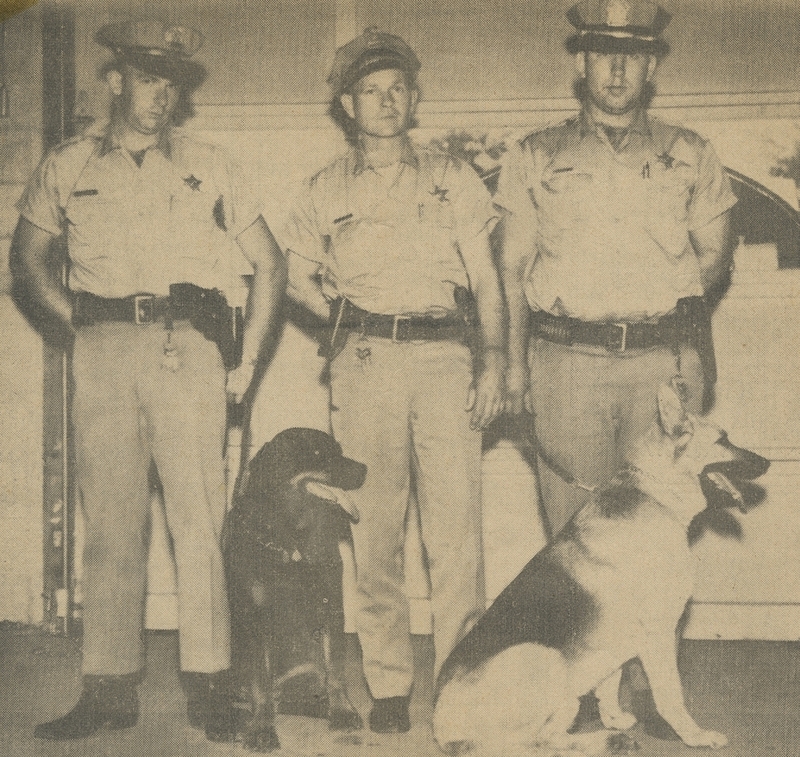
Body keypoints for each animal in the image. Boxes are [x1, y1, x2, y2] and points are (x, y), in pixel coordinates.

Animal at [225, 426, 368, 752]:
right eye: (318, 454)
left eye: (339, 449)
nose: (365, 469)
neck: (292, 540)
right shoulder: (256, 618)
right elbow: (260, 680)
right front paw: (262, 730)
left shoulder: (332, 607)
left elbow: (336, 668)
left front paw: (342, 711)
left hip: (306, 668)